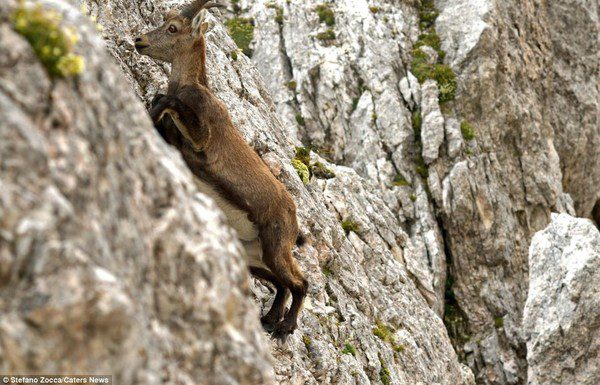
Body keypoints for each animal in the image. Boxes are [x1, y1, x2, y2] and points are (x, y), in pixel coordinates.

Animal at [134, 0, 308, 336]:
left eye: (173, 28)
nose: (139, 41)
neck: (193, 87)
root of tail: (295, 217)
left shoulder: (203, 137)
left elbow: (170, 102)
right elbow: (162, 102)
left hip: (277, 244)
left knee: (301, 282)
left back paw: (286, 325)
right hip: (253, 256)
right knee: (281, 284)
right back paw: (269, 319)